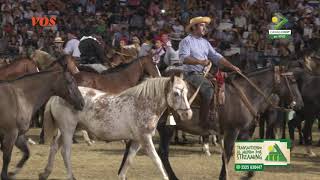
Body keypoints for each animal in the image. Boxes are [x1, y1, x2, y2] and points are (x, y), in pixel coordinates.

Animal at [39, 76, 190, 180]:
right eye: (176, 93)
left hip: (68, 130)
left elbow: (128, 161)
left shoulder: (137, 140)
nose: (188, 114)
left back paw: (45, 173)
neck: (143, 104)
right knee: (65, 152)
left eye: (187, 92)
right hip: (68, 130)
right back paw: (70, 176)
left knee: (54, 148)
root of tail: (56, 96)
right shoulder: (145, 139)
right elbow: (157, 161)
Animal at [120, 67, 302, 180]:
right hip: (166, 129)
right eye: (292, 81)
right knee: (163, 152)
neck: (245, 94)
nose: (300, 104)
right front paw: (223, 176)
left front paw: (248, 174)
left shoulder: (243, 131)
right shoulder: (232, 131)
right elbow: (226, 154)